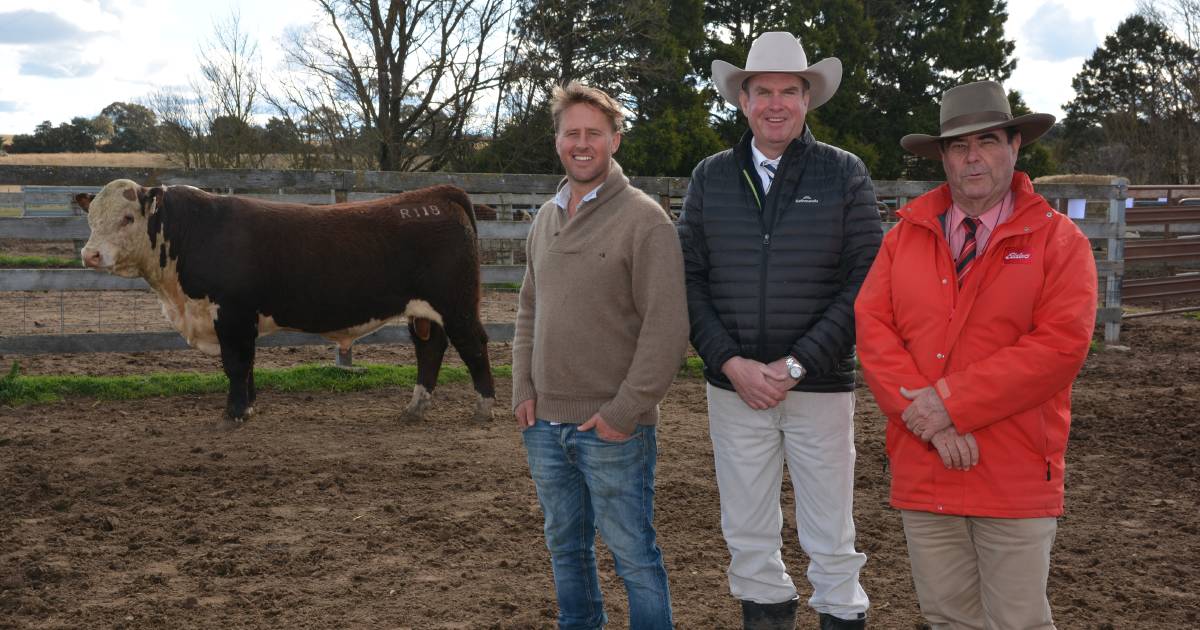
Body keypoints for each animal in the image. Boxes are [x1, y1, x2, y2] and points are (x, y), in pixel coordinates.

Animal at [76, 178, 496, 424]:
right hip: (423, 310)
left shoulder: (232, 313)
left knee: (473, 345)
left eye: (128, 217)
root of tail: (438, 194)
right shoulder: (241, 320)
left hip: (456, 303)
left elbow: (235, 364)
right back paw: (415, 408)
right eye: (91, 217)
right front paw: (247, 404)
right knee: (430, 348)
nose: (90, 255)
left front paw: (234, 412)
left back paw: (483, 408)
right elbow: (247, 365)